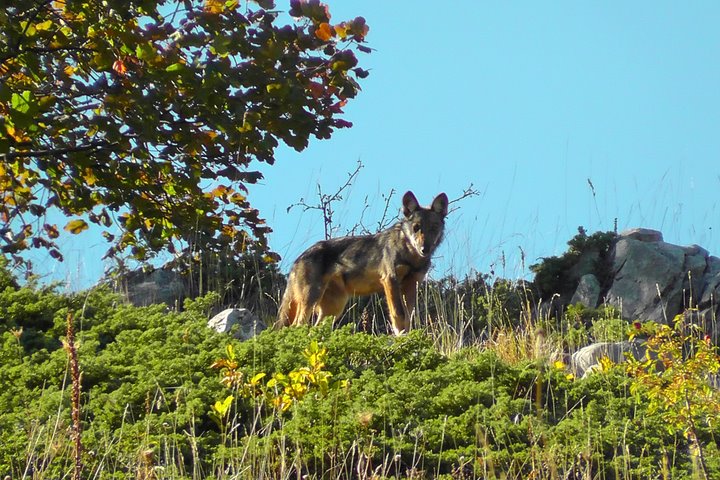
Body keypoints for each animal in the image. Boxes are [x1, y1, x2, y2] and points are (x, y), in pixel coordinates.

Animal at [278, 190, 448, 334]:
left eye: (433, 228)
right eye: (416, 227)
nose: (424, 249)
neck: (411, 257)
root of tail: (298, 259)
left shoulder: (412, 283)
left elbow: (408, 316)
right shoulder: (390, 280)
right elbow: (398, 314)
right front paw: (400, 336)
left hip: (334, 309)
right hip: (311, 301)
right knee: (296, 326)